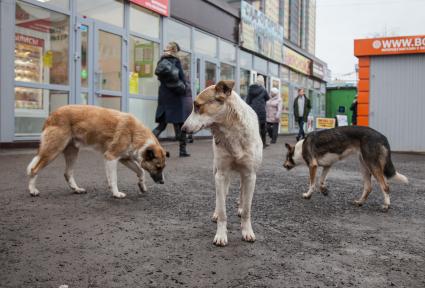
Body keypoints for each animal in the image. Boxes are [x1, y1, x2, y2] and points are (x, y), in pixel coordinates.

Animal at [26, 105, 169, 198]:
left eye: (163, 167)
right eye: (158, 167)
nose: (163, 182)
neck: (135, 133)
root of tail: (52, 115)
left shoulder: (125, 159)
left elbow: (140, 171)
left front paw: (141, 186)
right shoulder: (111, 157)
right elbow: (114, 178)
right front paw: (116, 193)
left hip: (72, 152)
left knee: (67, 173)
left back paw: (76, 189)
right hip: (53, 150)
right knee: (34, 169)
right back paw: (33, 190)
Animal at [181, 80, 262, 246]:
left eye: (197, 106)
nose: (182, 129)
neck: (231, 132)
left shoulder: (250, 175)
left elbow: (247, 209)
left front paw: (247, 231)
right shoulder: (221, 174)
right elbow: (223, 208)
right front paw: (221, 234)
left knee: (242, 191)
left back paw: (240, 207)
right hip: (218, 171)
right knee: (221, 196)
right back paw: (216, 212)